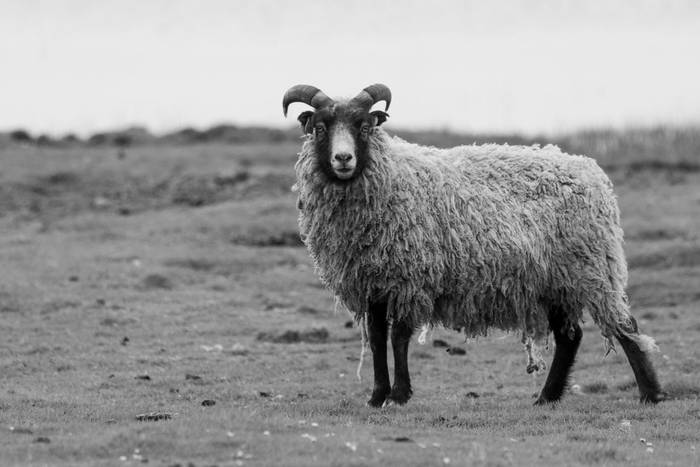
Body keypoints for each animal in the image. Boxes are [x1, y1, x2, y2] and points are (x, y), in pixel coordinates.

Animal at [283, 83, 665, 407]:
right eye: (320, 128)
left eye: (363, 127)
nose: (343, 159)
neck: (391, 177)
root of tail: (592, 172)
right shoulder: (371, 282)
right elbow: (377, 339)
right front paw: (377, 396)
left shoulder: (411, 278)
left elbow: (399, 338)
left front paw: (400, 395)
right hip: (554, 280)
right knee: (570, 337)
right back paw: (547, 397)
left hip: (591, 266)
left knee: (624, 326)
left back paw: (650, 393)